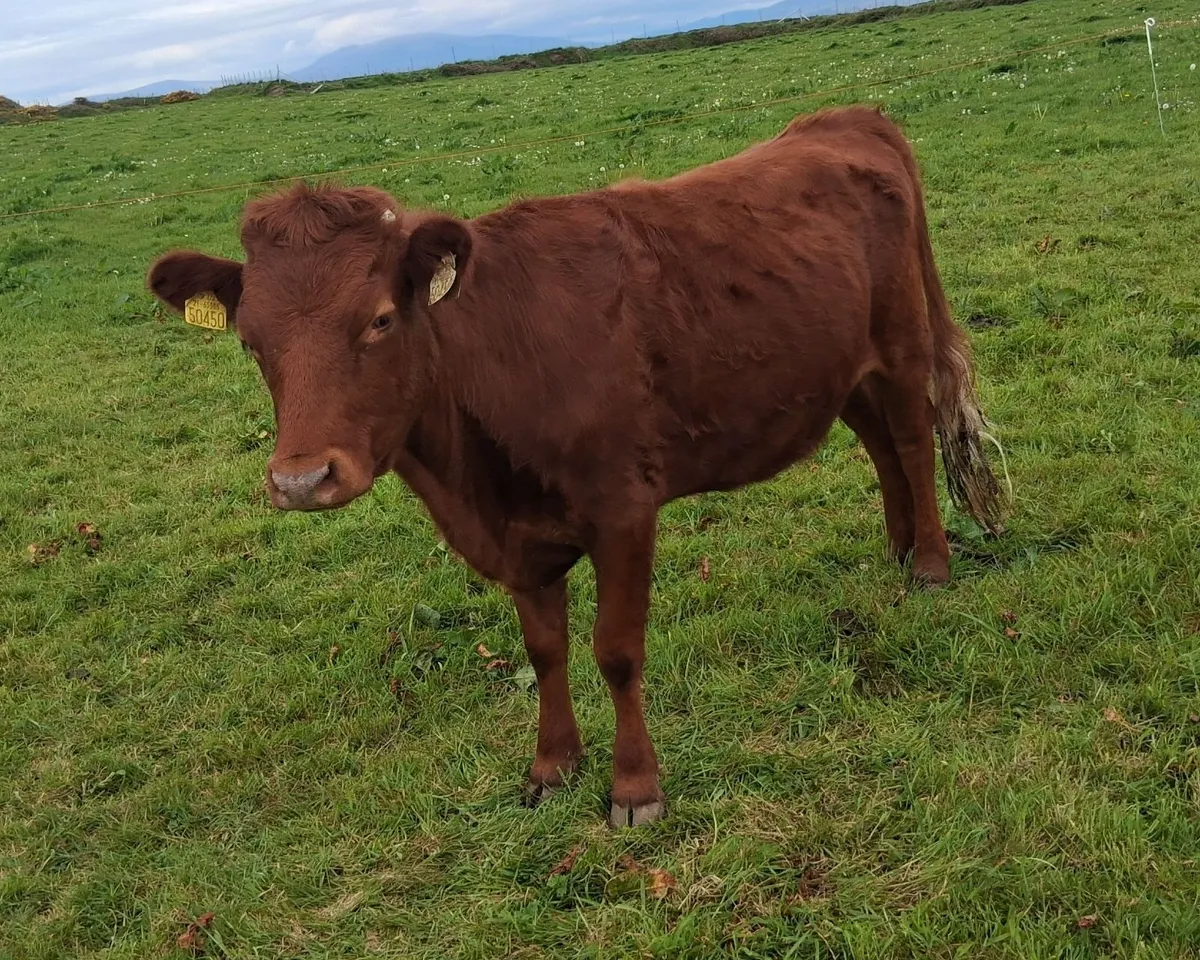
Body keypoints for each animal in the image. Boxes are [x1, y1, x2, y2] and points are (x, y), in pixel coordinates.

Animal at [147, 106, 1007, 827]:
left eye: (380, 320)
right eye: (251, 341)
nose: (301, 480)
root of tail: (844, 118)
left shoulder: (624, 510)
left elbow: (616, 651)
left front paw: (634, 788)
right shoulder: (518, 537)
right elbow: (545, 650)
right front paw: (552, 766)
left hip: (900, 343)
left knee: (911, 443)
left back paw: (931, 564)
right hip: (839, 365)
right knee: (879, 445)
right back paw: (897, 548)